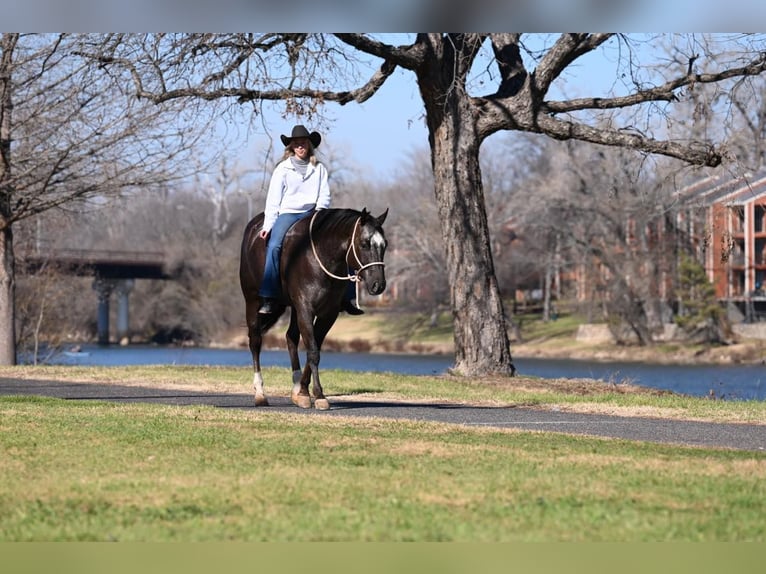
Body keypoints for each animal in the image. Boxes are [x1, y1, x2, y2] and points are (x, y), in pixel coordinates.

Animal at [240, 207, 390, 410]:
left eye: (385, 245)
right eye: (364, 244)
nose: (378, 285)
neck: (321, 257)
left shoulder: (328, 314)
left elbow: (315, 348)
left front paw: (303, 391)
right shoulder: (305, 309)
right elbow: (313, 351)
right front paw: (318, 395)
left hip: (293, 309)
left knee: (291, 338)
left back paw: (295, 388)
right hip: (253, 301)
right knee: (255, 342)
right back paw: (260, 394)